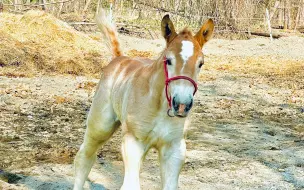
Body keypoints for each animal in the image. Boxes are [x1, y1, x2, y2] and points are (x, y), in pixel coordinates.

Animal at [74, 10, 214, 190]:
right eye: (168, 60)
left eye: (200, 64)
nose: (182, 105)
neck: (158, 106)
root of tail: (119, 59)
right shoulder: (133, 143)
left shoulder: (174, 149)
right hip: (100, 126)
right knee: (85, 156)